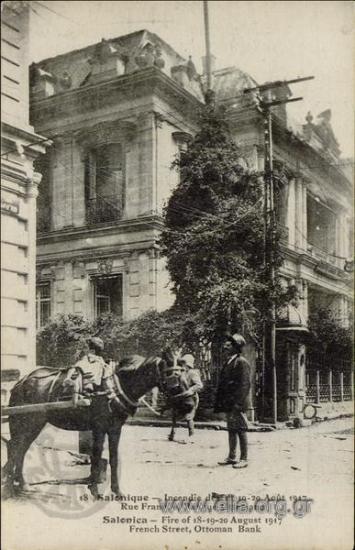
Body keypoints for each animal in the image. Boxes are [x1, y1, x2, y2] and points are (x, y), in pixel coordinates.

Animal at [1, 354, 174, 500]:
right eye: (171, 372)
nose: (179, 398)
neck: (115, 386)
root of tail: (21, 382)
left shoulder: (115, 428)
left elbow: (114, 459)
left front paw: (117, 491)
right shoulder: (99, 427)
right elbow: (96, 457)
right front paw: (95, 490)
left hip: (33, 424)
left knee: (19, 449)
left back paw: (21, 484)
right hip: (29, 422)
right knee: (15, 448)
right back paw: (10, 488)